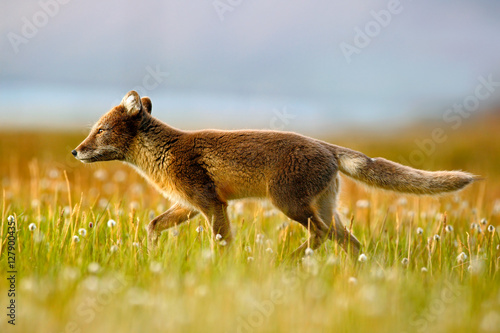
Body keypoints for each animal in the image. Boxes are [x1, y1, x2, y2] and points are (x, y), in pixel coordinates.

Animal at [71, 90, 476, 254]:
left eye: (100, 131)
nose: (75, 151)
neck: (164, 154)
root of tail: (327, 146)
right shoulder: (190, 205)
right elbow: (153, 225)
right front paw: (152, 253)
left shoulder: (212, 205)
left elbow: (222, 244)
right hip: (324, 210)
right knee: (351, 243)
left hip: (289, 205)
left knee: (321, 236)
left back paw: (291, 260)